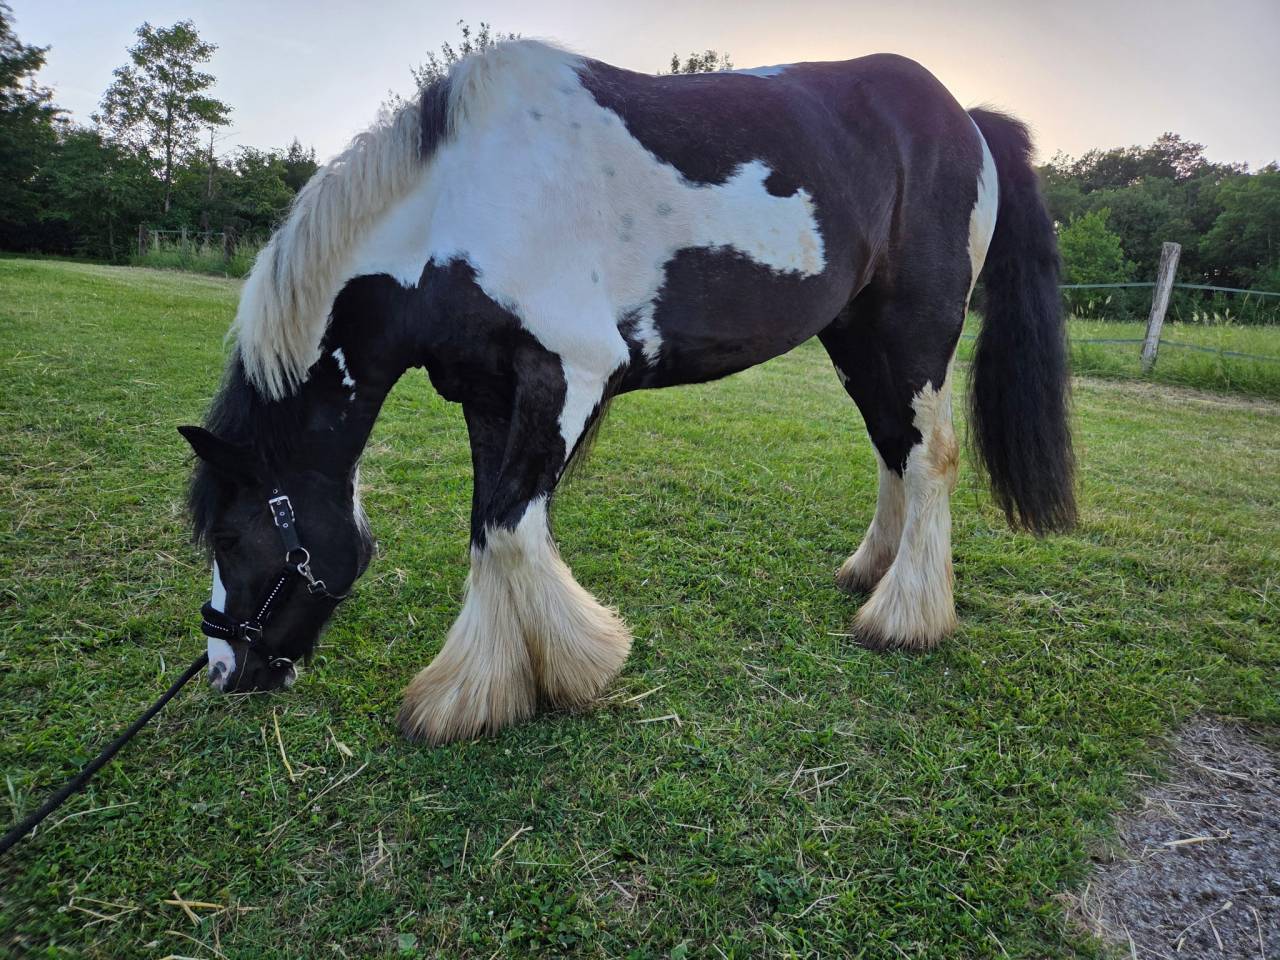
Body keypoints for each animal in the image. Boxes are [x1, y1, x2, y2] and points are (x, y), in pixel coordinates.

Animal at [182, 40, 1075, 745]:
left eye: (228, 536)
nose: (224, 669)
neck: (462, 203)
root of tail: (965, 118)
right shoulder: (487, 393)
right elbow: (486, 528)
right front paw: (486, 693)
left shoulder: (569, 375)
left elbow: (508, 528)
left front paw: (566, 669)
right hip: (856, 338)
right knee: (894, 448)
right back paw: (870, 574)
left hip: (916, 332)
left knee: (931, 457)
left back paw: (904, 619)